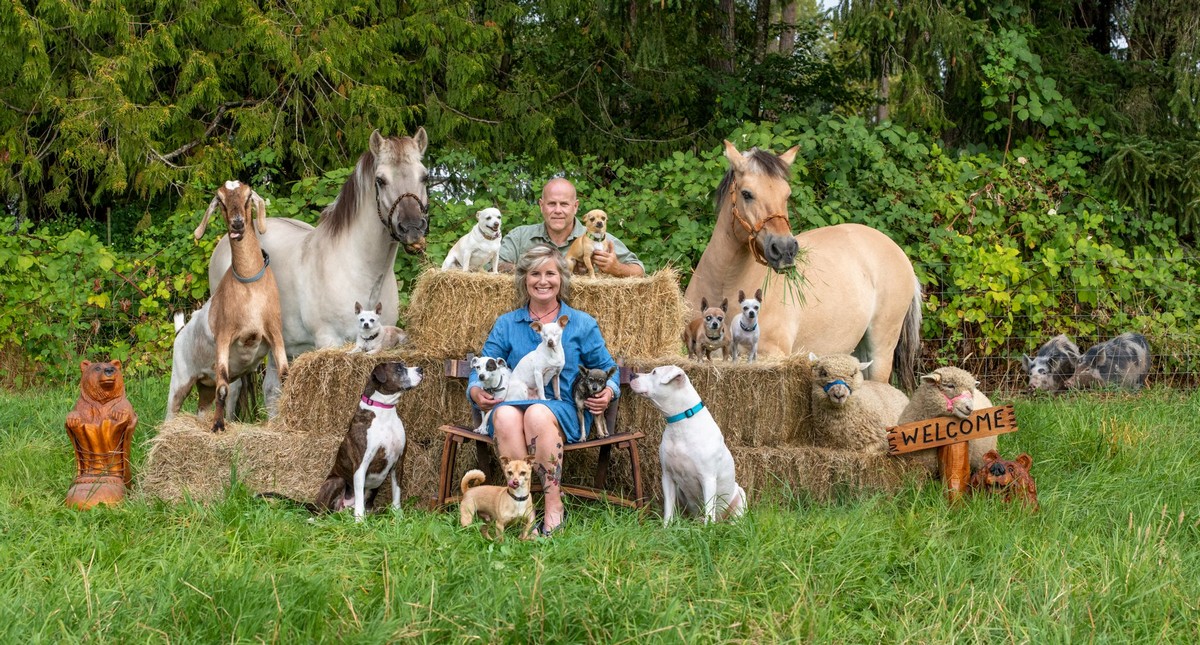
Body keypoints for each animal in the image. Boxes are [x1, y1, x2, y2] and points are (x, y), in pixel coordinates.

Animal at [196, 179, 292, 431]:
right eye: (220, 199)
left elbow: (285, 376)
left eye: (248, 196)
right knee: (231, 386)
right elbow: (221, 387)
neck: (249, 284)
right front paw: (218, 425)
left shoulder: (275, 331)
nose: (238, 224)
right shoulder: (224, 335)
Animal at [628, 362, 739, 522]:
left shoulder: (708, 479)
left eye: (654, 372)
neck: (681, 422)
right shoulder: (667, 476)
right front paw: (666, 526)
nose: (632, 375)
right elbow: (668, 511)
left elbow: (709, 513)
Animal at [686, 141, 916, 388]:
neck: (725, 285)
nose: (785, 249)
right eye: (747, 194)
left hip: (881, 350)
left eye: (786, 195)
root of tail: (897, 251)